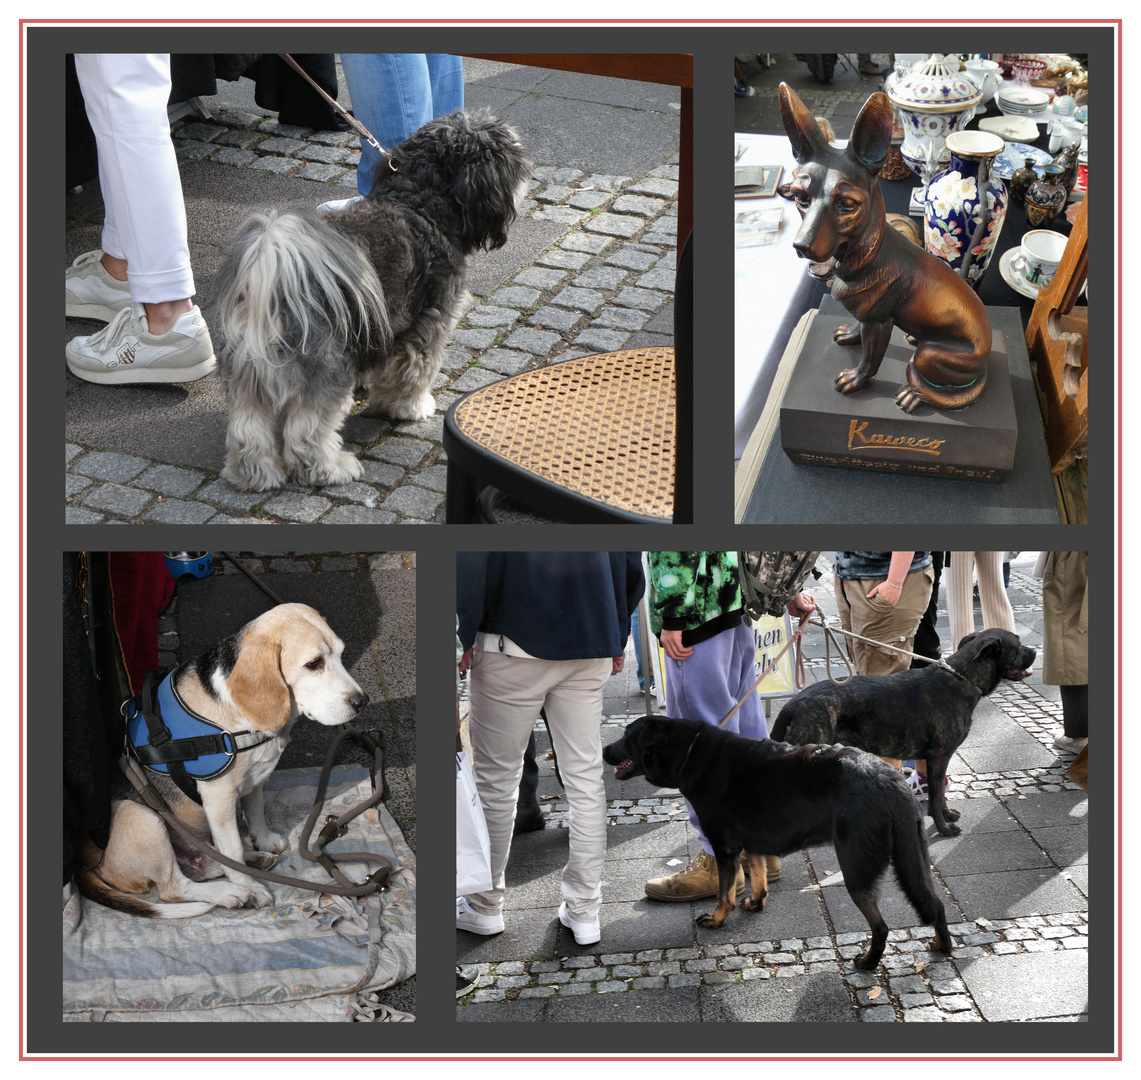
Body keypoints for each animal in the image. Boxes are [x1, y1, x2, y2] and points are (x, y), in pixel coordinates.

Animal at [75, 602, 367, 916]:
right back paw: (232, 892)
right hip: (141, 815)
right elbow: (233, 852)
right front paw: (252, 887)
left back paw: (255, 861)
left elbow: (255, 813)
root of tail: (81, 862)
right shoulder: (219, 800)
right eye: (313, 663)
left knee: (207, 865)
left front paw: (264, 841)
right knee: (175, 888)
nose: (362, 702)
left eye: (341, 654)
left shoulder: (256, 780)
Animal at [214, 110, 533, 494]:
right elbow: (413, 373)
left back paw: (255, 476)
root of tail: (273, 272)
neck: (418, 202)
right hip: (325, 367)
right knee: (307, 432)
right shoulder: (425, 324)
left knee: (247, 427)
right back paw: (331, 469)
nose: (530, 172)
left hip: (247, 373)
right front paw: (411, 407)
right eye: (514, 155)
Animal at [602, 711, 949, 976]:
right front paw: (756, 903)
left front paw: (717, 919)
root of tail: (892, 782)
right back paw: (941, 945)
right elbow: (757, 877)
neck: (689, 750)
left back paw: (868, 962)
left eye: (627, 737)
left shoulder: (724, 847)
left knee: (881, 927)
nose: (604, 750)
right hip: (915, 860)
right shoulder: (751, 843)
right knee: (936, 904)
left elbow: (725, 892)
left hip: (856, 871)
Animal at [775, 624, 1036, 834]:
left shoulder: (940, 760)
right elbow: (935, 798)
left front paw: (947, 815)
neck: (963, 678)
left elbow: (940, 794)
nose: (1034, 651)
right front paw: (943, 828)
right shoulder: (938, 757)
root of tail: (793, 704)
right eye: (1017, 644)